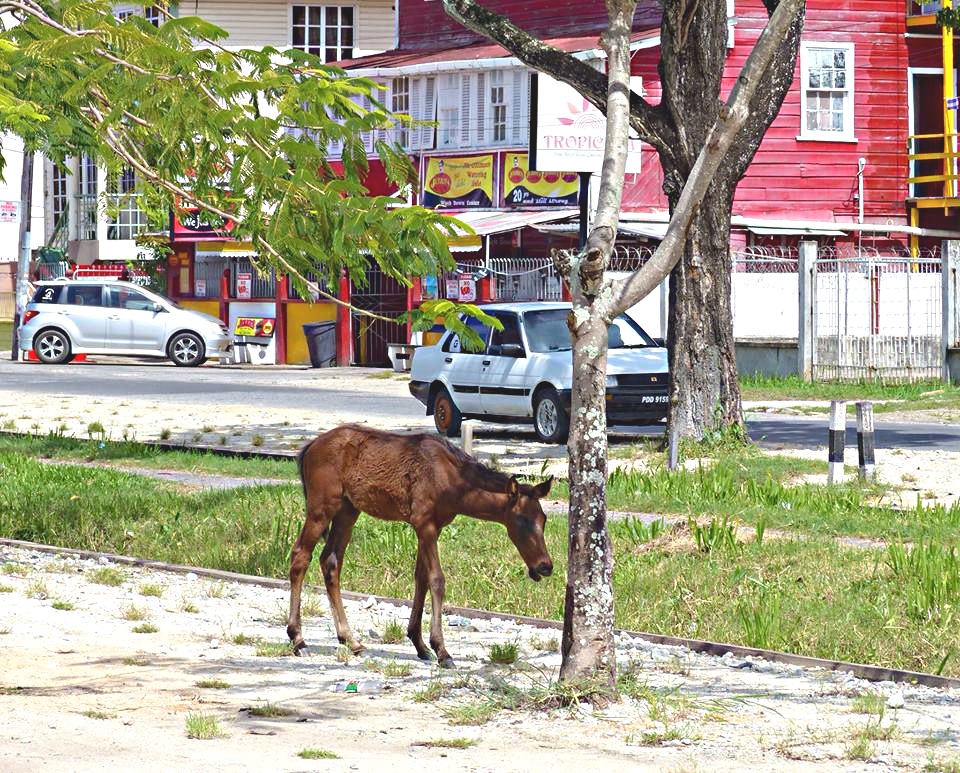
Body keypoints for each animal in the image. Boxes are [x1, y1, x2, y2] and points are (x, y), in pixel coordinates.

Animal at [286, 426, 556, 668]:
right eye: (521, 520)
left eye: (543, 519)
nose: (545, 566)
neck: (454, 483)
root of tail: (309, 447)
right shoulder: (424, 524)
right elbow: (437, 580)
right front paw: (441, 650)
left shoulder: (431, 528)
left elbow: (421, 578)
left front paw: (419, 644)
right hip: (321, 507)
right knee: (300, 555)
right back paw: (298, 639)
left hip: (348, 510)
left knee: (330, 561)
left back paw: (350, 640)